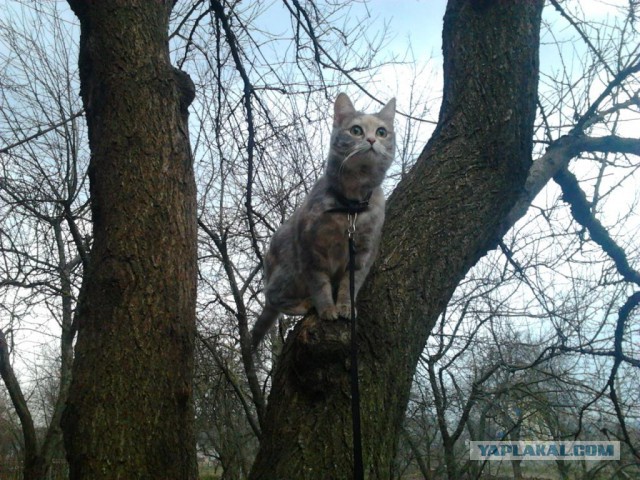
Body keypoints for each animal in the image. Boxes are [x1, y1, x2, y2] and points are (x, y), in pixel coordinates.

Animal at [251, 93, 396, 348]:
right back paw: (304, 303)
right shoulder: (310, 250)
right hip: (288, 270)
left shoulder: (363, 253)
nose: (370, 139)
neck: (350, 208)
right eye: (356, 130)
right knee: (273, 297)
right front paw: (327, 308)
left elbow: (350, 285)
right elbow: (320, 285)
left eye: (382, 132)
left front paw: (345, 307)